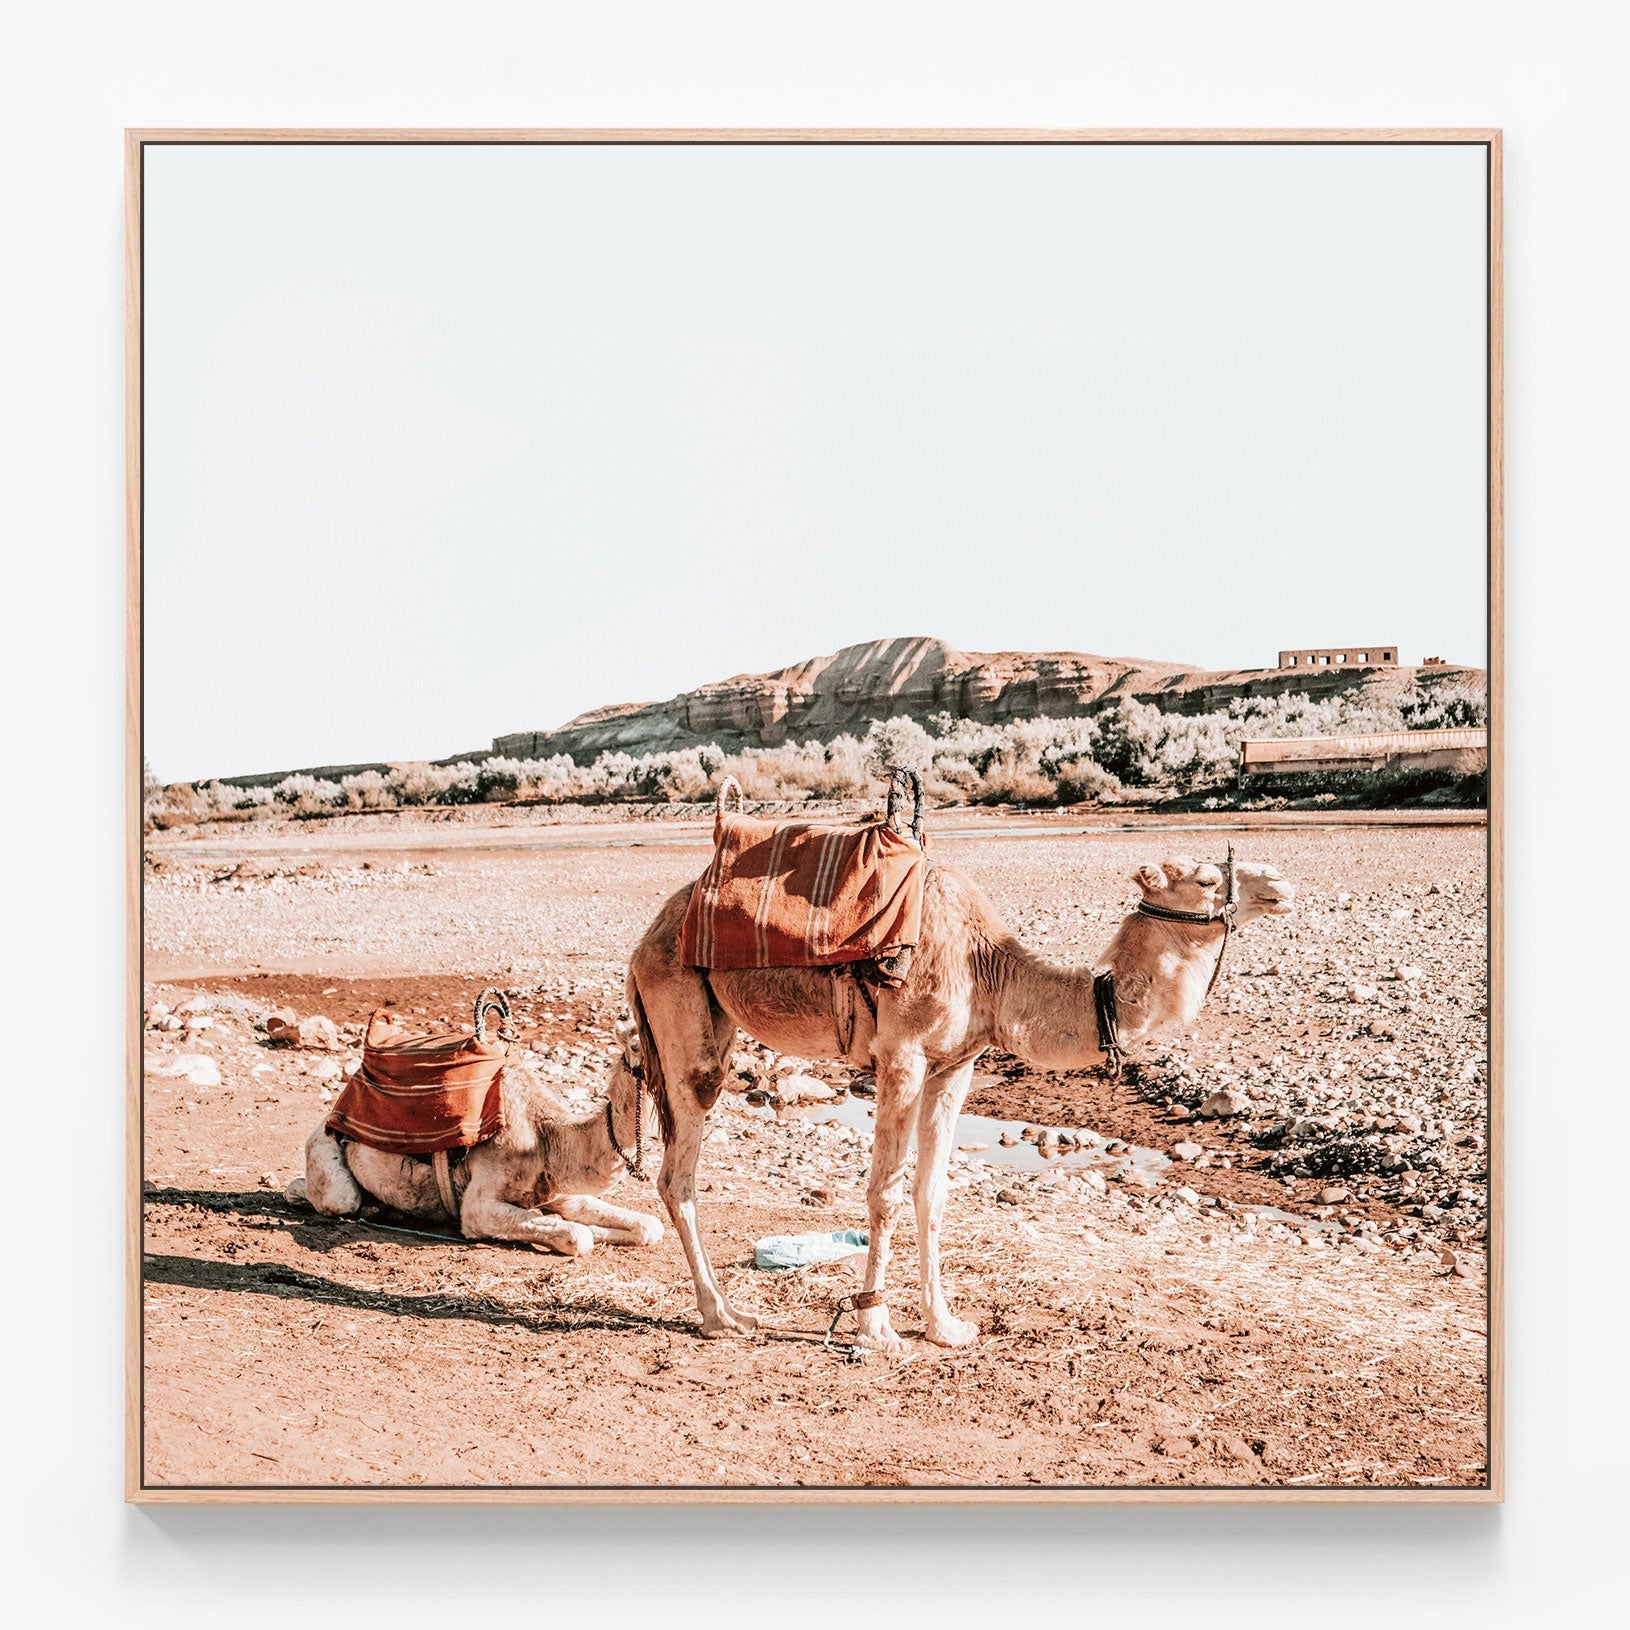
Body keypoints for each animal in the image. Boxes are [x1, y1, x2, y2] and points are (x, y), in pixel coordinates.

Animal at [291, 1018, 665, 1255]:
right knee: (333, 1197)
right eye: (635, 1045)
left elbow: (650, 1226)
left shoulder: (561, 1193)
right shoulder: (479, 1204)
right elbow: (577, 1235)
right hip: (325, 1150)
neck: (548, 1138)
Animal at [629, 847, 1294, 1352]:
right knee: (677, 1170)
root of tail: (647, 939)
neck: (990, 972)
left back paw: (725, 1312)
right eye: (1206, 879)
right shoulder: (901, 1056)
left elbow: (932, 1192)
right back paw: (722, 1317)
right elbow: (886, 1192)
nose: (1280, 885)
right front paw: (876, 1329)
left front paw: (944, 1326)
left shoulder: (954, 1066)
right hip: (682, 1013)